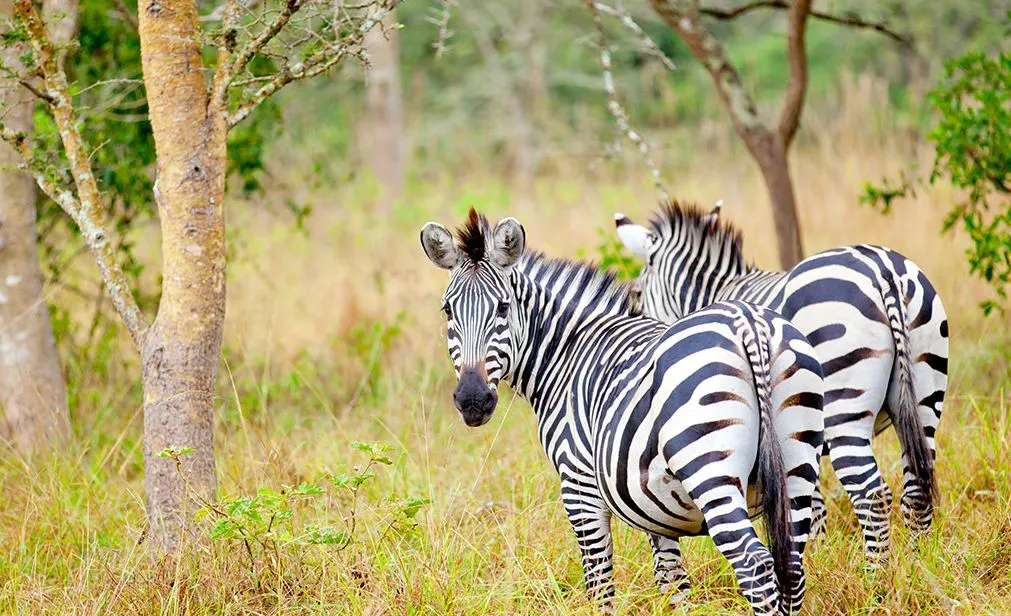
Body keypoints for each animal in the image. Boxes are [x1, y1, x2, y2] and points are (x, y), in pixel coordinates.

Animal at [422, 209, 824, 610]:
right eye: (447, 310)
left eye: (503, 308)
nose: (473, 399)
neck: (566, 354)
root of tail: (748, 324)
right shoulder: (653, 504)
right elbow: (672, 582)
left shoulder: (579, 486)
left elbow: (599, 585)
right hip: (797, 466)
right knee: (792, 567)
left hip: (710, 468)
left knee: (755, 565)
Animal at [610, 200, 950, 562]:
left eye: (638, 294)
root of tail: (882, 271)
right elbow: (808, 506)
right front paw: (817, 554)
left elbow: (808, 508)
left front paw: (813, 557)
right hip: (926, 396)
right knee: (917, 487)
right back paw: (918, 564)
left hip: (846, 409)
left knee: (872, 494)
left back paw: (878, 571)